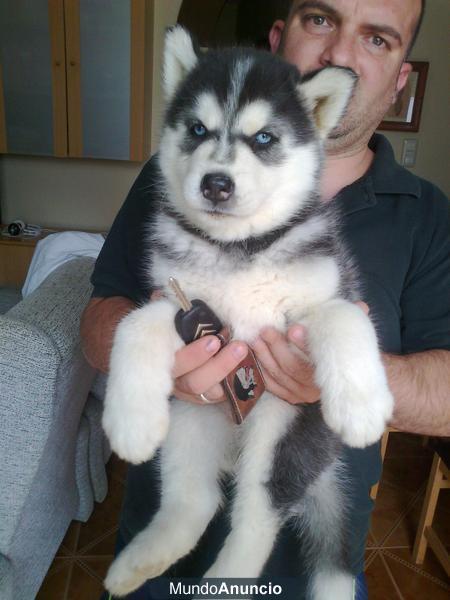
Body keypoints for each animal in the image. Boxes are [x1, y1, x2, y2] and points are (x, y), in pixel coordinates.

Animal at [103, 25, 392, 596]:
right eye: (197, 129)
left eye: (264, 139)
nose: (216, 183)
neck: (239, 248)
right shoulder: (184, 304)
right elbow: (133, 323)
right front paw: (128, 420)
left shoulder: (322, 295)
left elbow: (347, 318)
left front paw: (363, 406)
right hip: (192, 417)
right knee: (195, 502)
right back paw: (136, 563)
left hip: (283, 431)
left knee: (256, 518)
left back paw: (226, 575)